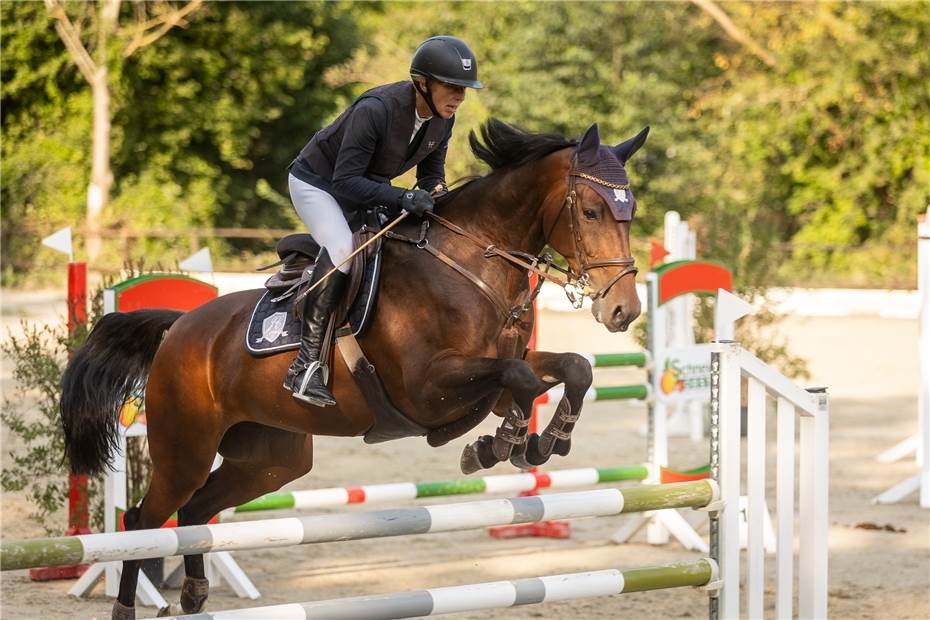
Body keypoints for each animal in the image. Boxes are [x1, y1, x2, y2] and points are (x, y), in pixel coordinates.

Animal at [59, 118, 644, 616]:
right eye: (592, 212)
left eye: (630, 210)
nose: (624, 310)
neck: (470, 265)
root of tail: (180, 327)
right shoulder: (428, 386)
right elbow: (520, 381)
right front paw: (500, 445)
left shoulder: (496, 371)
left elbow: (572, 369)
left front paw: (541, 442)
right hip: (186, 448)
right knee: (145, 521)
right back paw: (126, 606)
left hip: (270, 460)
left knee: (196, 512)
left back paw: (196, 593)